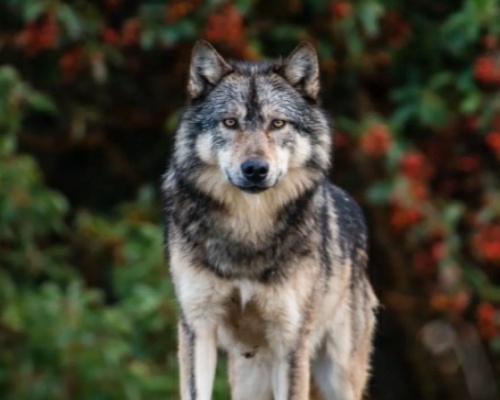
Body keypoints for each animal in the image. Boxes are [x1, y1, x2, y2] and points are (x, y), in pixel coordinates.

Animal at [162, 41, 376, 400]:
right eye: (230, 122)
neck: (249, 228)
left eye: (277, 124)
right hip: (248, 378)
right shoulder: (197, 326)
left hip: (338, 376)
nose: (255, 169)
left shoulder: (290, 340)